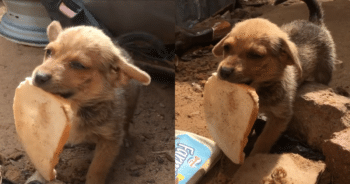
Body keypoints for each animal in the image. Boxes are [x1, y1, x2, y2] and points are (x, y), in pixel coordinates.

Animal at [30, 20, 150, 183]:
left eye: (78, 65)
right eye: (48, 52)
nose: (39, 76)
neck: (75, 107)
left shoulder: (109, 141)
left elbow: (96, 170)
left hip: (131, 103)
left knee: (126, 122)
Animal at [212, 0, 334, 156]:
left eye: (256, 55)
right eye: (226, 47)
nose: (224, 71)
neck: (261, 90)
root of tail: (314, 22)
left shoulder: (280, 117)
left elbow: (263, 141)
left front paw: (253, 157)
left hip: (324, 71)